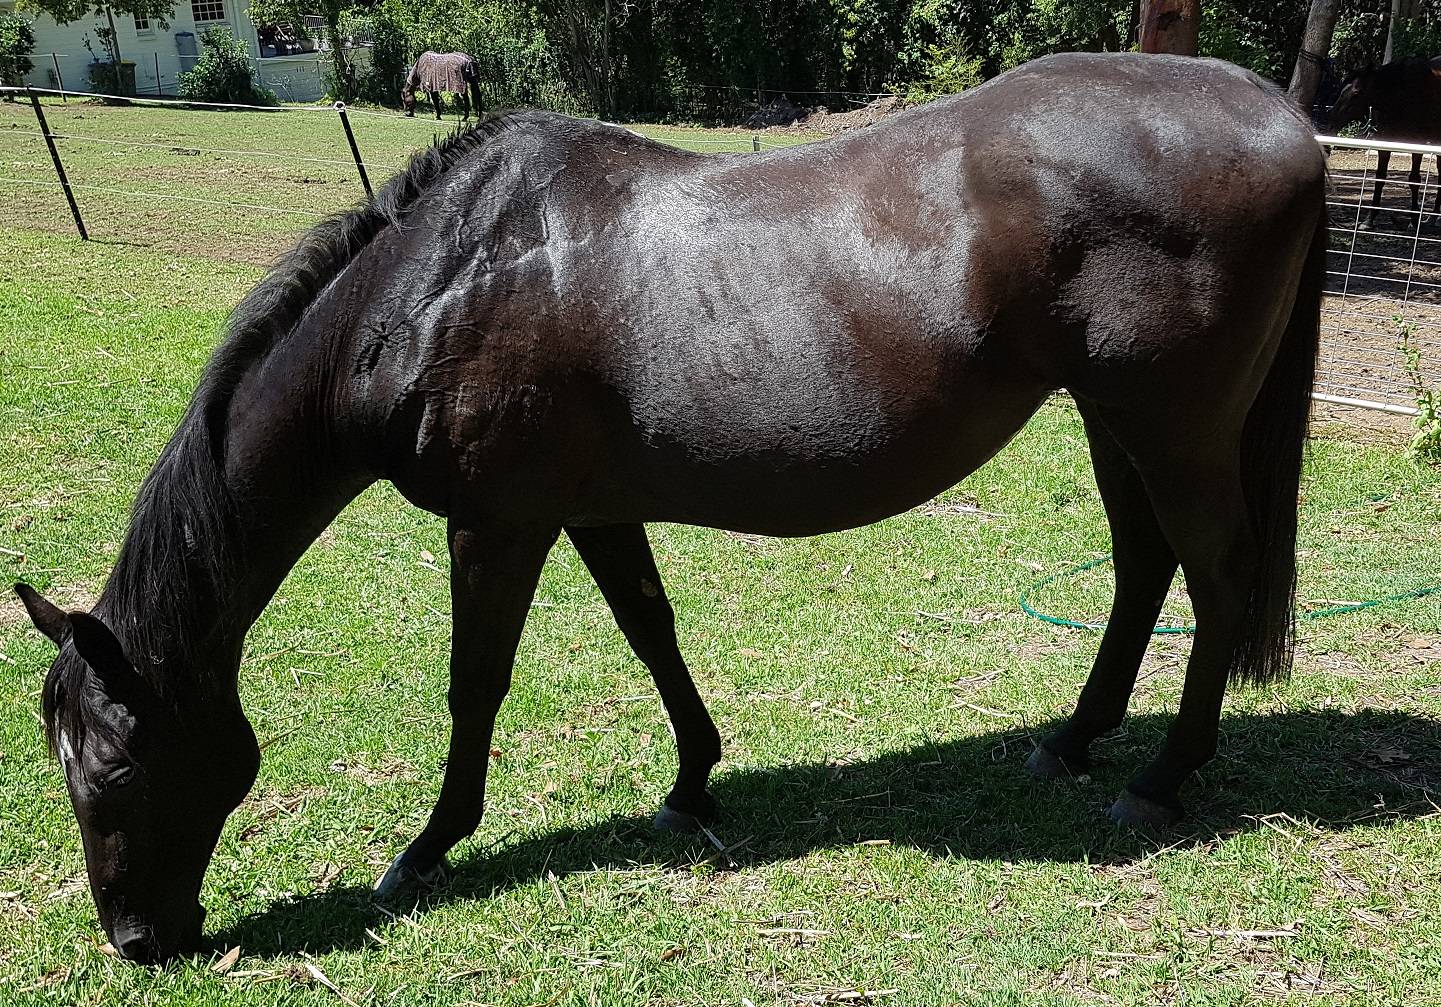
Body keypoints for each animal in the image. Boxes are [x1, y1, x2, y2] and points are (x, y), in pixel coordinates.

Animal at [15, 52, 1326, 964]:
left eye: (112, 769)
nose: (138, 940)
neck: (437, 286)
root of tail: (1281, 118)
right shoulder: (590, 510)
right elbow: (653, 631)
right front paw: (691, 782)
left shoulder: (498, 522)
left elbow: (474, 683)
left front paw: (426, 848)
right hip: (1115, 421)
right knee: (1143, 566)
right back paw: (1074, 736)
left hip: (1172, 427)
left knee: (1211, 571)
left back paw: (1158, 774)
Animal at [1329, 55, 1441, 228]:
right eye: (1342, 91)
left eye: (1356, 93)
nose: (1331, 121)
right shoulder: (1384, 141)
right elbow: (1380, 178)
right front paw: (1369, 219)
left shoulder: (1417, 144)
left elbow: (1414, 180)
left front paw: (1414, 220)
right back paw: (1433, 217)